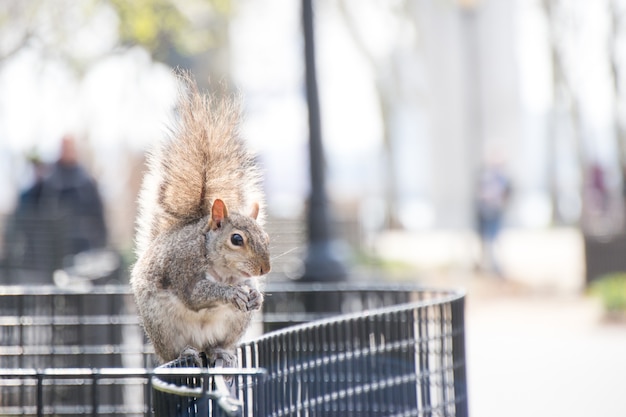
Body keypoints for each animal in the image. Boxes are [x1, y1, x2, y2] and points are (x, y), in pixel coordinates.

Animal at [129, 73, 268, 366]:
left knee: (217, 346)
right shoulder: (183, 266)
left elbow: (248, 287)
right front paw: (229, 294)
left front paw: (256, 296)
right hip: (163, 328)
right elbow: (195, 294)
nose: (264, 269)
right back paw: (187, 352)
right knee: (176, 352)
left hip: (234, 325)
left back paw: (221, 352)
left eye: (267, 238)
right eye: (236, 239)